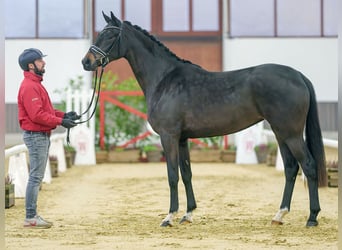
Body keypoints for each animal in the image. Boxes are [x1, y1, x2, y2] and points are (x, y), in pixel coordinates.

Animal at [81, 12, 328, 229]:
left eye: (110, 35)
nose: (86, 61)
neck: (164, 79)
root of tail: (298, 76)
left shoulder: (169, 137)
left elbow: (172, 175)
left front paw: (169, 217)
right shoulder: (182, 139)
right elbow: (187, 174)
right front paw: (188, 214)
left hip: (291, 134)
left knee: (308, 165)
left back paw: (312, 217)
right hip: (280, 133)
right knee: (291, 168)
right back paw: (279, 215)